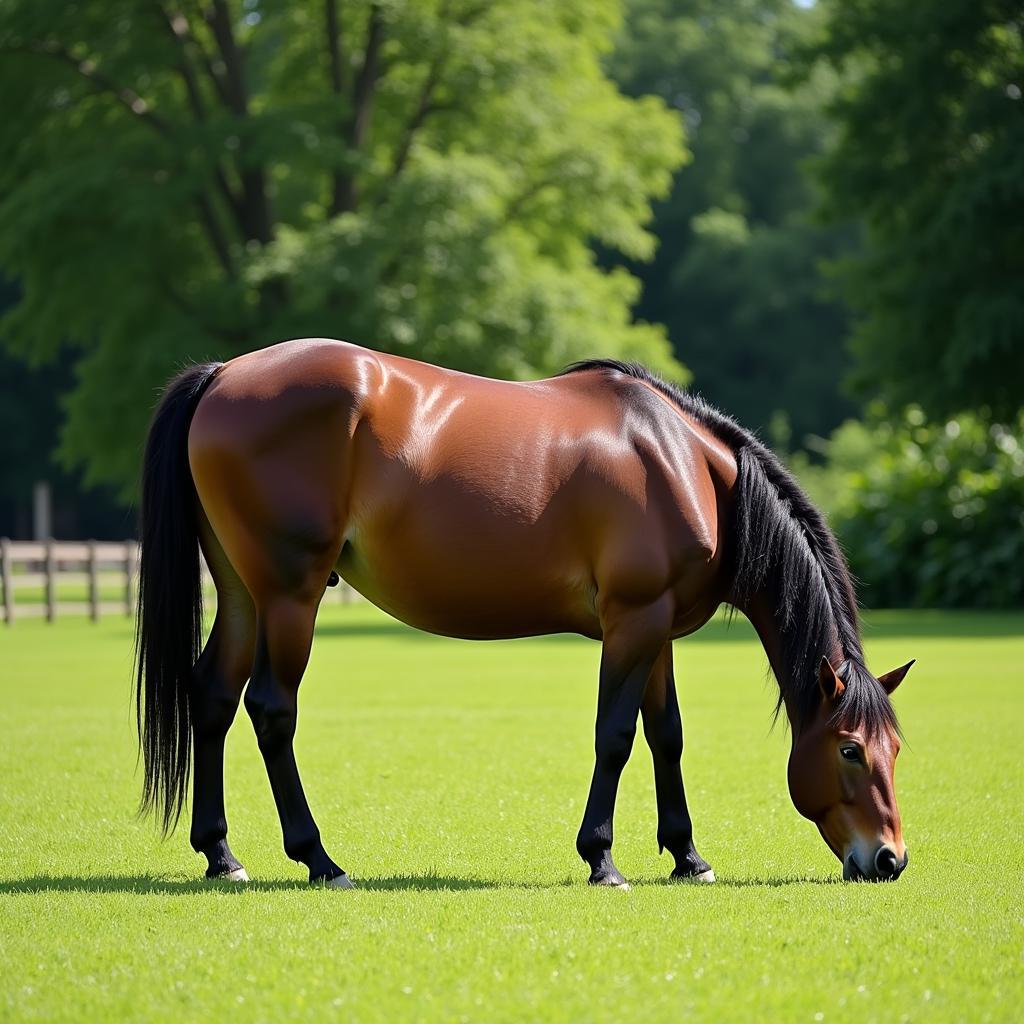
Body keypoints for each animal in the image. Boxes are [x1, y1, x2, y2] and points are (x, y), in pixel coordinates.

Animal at [134, 337, 913, 888]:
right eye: (849, 748)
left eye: (895, 749)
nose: (889, 860)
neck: (686, 466)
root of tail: (224, 374)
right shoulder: (632, 622)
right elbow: (615, 736)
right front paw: (602, 859)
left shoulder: (655, 629)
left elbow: (666, 735)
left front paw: (688, 856)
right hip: (289, 594)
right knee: (270, 709)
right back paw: (320, 859)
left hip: (243, 593)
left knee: (213, 696)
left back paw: (221, 854)